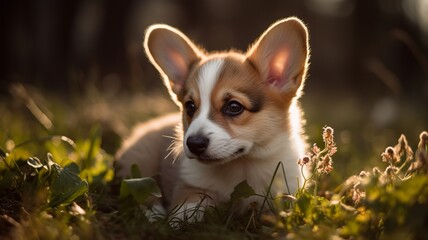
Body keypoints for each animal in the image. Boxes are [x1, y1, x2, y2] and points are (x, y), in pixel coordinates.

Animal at [117, 16, 310, 221]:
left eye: (234, 107)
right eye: (190, 106)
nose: (194, 144)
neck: (242, 165)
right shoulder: (191, 188)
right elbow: (186, 211)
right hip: (139, 164)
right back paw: (154, 213)